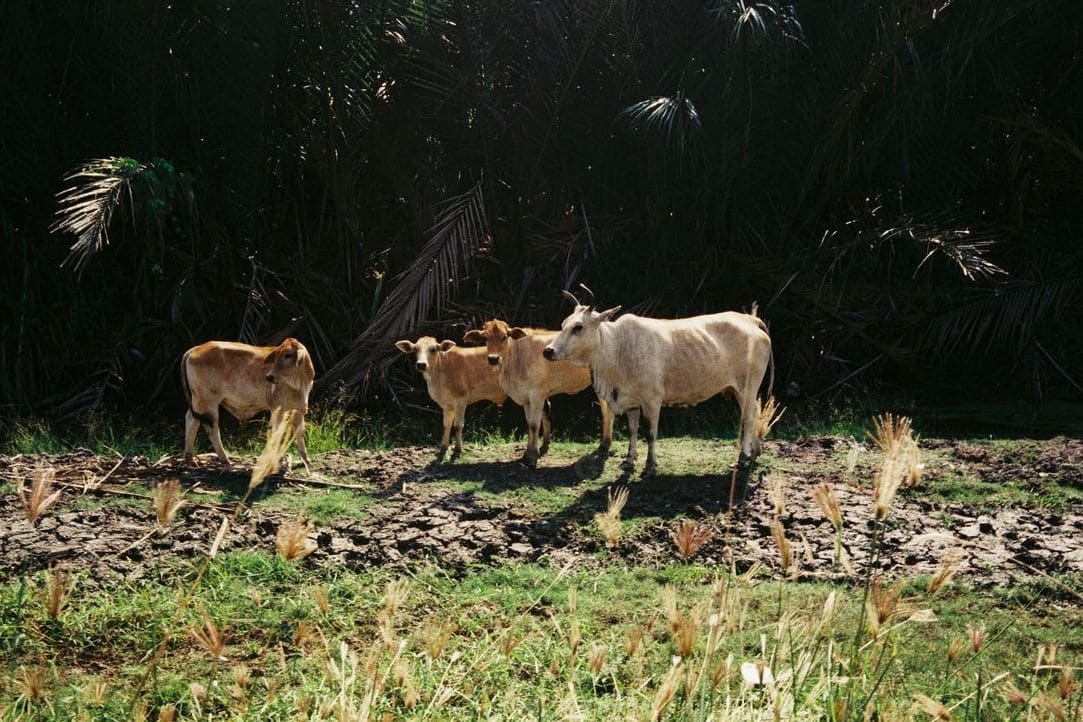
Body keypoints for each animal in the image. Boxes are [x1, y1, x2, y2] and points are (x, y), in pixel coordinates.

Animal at [181, 338, 315, 470]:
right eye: (276, 355)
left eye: (288, 355)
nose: (269, 376)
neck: (298, 384)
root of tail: (197, 348)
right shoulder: (278, 409)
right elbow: (277, 435)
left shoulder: (299, 409)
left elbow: (299, 433)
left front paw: (305, 459)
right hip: (208, 401)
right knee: (210, 426)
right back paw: (224, 459)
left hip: (198, 401)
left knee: (191, 420)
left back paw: (189, 459)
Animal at [463, 319, 614, 466]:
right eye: (485, 338)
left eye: (504, 337)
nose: (493, 358)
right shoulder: (525, 397)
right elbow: (529, 423)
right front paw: (527, 454)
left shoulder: (537, 394)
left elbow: (535, 424)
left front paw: (532, 457)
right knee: (606, 410)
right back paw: (604, 444)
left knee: (608, 410)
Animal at [543, 292, 773, 500]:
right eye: (564, 324)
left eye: (578, 327)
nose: (548, 351)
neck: (617, 350)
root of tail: (749, 319)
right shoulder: (631, 402)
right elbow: (633, 431)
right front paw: (629, 461)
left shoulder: (652, 400)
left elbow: (651, 434)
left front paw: (650, 467)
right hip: (739, 390)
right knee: (755, 413)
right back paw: (755, 452)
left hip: (747, 386)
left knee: (748, 417)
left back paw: (743, 457)